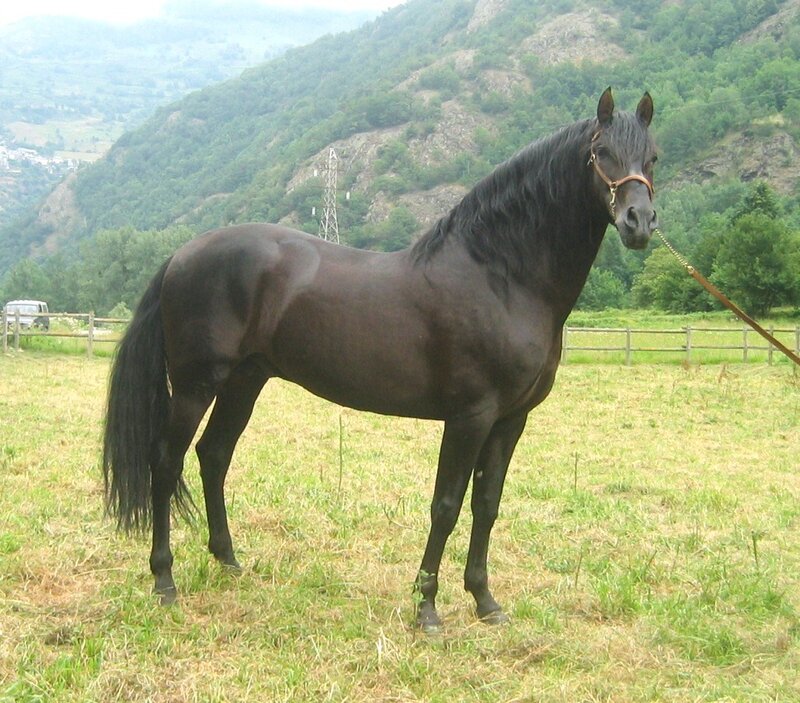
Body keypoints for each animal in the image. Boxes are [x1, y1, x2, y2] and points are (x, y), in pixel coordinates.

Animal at [103, 88, 658, 632]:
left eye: (652, 156)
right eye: (601, 153)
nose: (639, 222)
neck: (499, 277)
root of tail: (182, 254)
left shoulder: (510, 419)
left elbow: (487, 506)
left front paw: (484, 601)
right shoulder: (469, 416)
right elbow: (446, 506)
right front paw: (427, 608)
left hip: (245, 381)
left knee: (214, 455)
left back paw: (228, 560)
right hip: (196, 384)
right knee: (165, 462)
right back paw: (164, 581)